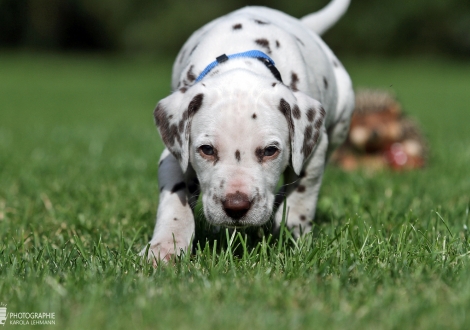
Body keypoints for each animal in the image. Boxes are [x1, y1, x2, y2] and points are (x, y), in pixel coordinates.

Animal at [142, 0, 352, 262]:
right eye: (207, 149)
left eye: (270, 150)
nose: (236, 206)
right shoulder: (174, 153)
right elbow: (174, 199)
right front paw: (165, 246)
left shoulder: (314, 147)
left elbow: (303, 189)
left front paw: (293, 232)